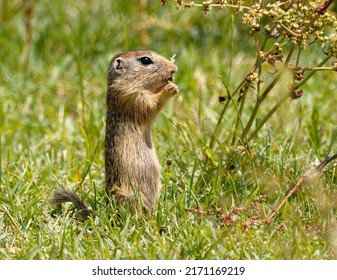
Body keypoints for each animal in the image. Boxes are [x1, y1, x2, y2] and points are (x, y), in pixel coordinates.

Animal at [50, 50, 178, 219]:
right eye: (145, 60)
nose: (174, 69)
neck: (127, 82)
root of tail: (108, 214)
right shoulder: (131, 96)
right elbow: (151, 105)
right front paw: (170, 88)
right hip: (131, 196)